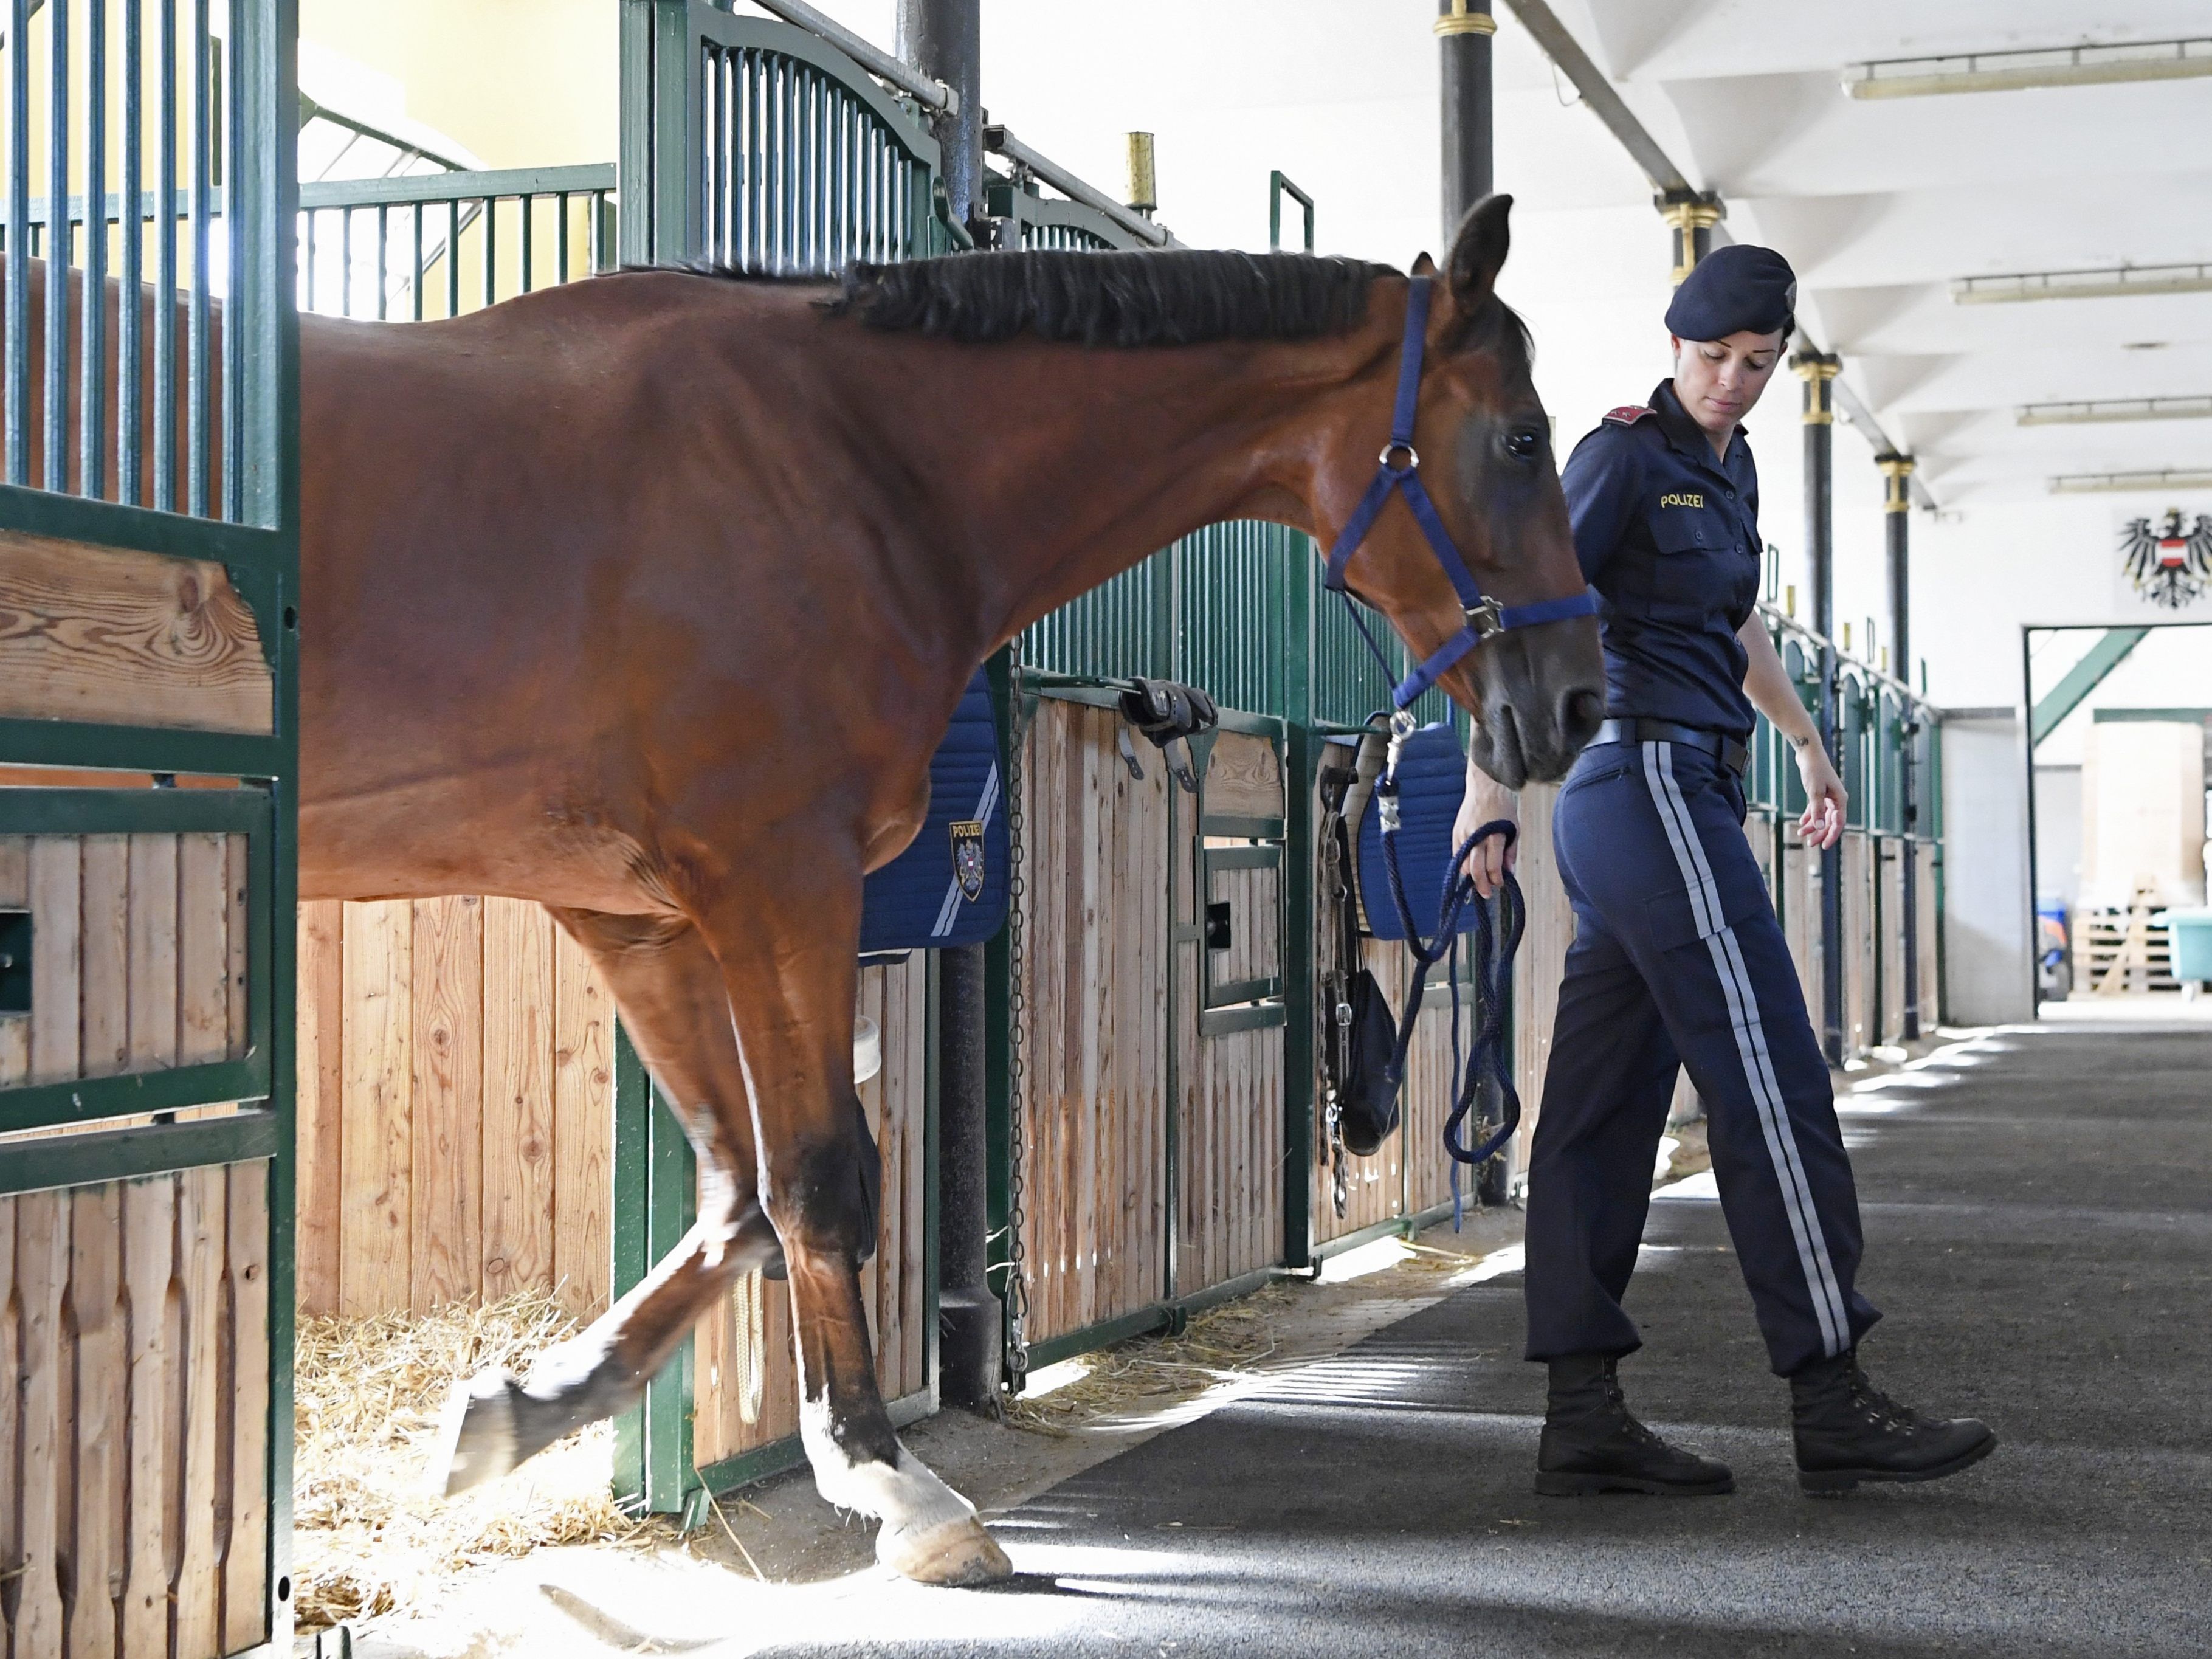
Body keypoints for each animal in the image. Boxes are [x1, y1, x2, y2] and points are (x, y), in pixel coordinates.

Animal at [0, 191, 1601, 1584]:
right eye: (1521, 437)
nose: (1577, 701)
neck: (849, 462)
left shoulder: (639, 910)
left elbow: (738, 1194)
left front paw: (518, 1411)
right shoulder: (780, 879)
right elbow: (824, 1174)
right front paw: (900, 1484)